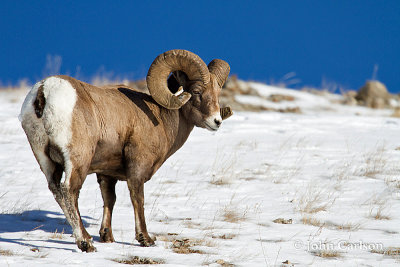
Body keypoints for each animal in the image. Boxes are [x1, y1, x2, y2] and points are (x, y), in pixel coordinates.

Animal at [19, 50, 231, 253]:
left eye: (217, 92)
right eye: (196, 91)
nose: (216, 122)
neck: (160, 118)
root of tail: (44, 91)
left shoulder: (106, 174)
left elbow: (109, 199)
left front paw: (107, 237)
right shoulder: (137, 168)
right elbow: (138, 199)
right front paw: (146, 239)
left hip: (45, 160)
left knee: (56, 190)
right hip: (77, 159)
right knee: (69, 191)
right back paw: (86, 243)